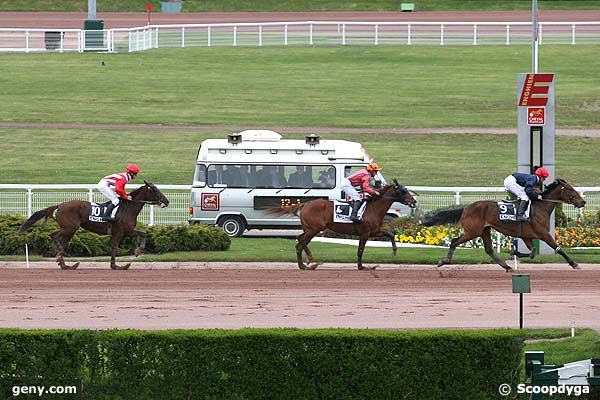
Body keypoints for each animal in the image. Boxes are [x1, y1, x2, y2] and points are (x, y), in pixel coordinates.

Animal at [18, 180, 169, 268]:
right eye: (155, 189)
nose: (166, 201)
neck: (127, 208)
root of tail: (59, 205)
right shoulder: (121, 231)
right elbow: (116, 246)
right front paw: (119, 264)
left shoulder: (126, 231)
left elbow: (143, 233)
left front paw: (137, 252)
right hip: (70, 227)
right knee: (53, 235)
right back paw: (61, 256)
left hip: (70, 229)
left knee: (62, 242)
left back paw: (65, 263)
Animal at [268, 180, 418, 268]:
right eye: (403, 190)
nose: (414, 200)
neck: (373, 207)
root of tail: (306, 204)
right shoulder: (365, 233)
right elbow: (360, 250)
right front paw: (360, 266)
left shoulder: (374, 231)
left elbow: (391, 234)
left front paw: (394, 252)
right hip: (314, 229)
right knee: (301, 242)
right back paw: (309, 259)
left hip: (309, 229)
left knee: (299, 241)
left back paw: (303, 265)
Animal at [422, 180, 584, 272]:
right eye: (570, 189)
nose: (583, 202)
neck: (540, 207)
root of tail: (466, 208)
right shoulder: (543, 234)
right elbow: (558, 249)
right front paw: (574, 264)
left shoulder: (527, 236)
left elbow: (532, 252)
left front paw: (514, 252)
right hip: (472, 232)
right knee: (454, 241)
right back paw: (443, 261)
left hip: (485, 230)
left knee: (489, 249)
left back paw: (507, 267)